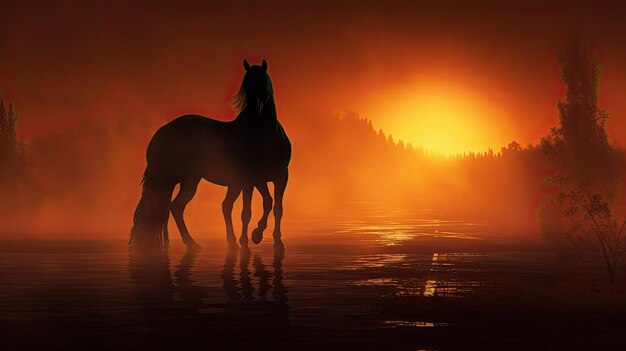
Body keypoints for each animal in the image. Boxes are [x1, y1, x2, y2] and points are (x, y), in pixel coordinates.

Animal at [129, 59, 292, 250]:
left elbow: (273, 205)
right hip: (189, 180)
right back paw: (192, 243)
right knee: (177, 207)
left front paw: (268, 237)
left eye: (264, 83)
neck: (266, 135)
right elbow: (248, 211)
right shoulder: (250, 179)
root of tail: (161, 133)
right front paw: (251, 238)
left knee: (217, 206)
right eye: (246, 86)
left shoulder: (276, 176)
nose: (256, 111)